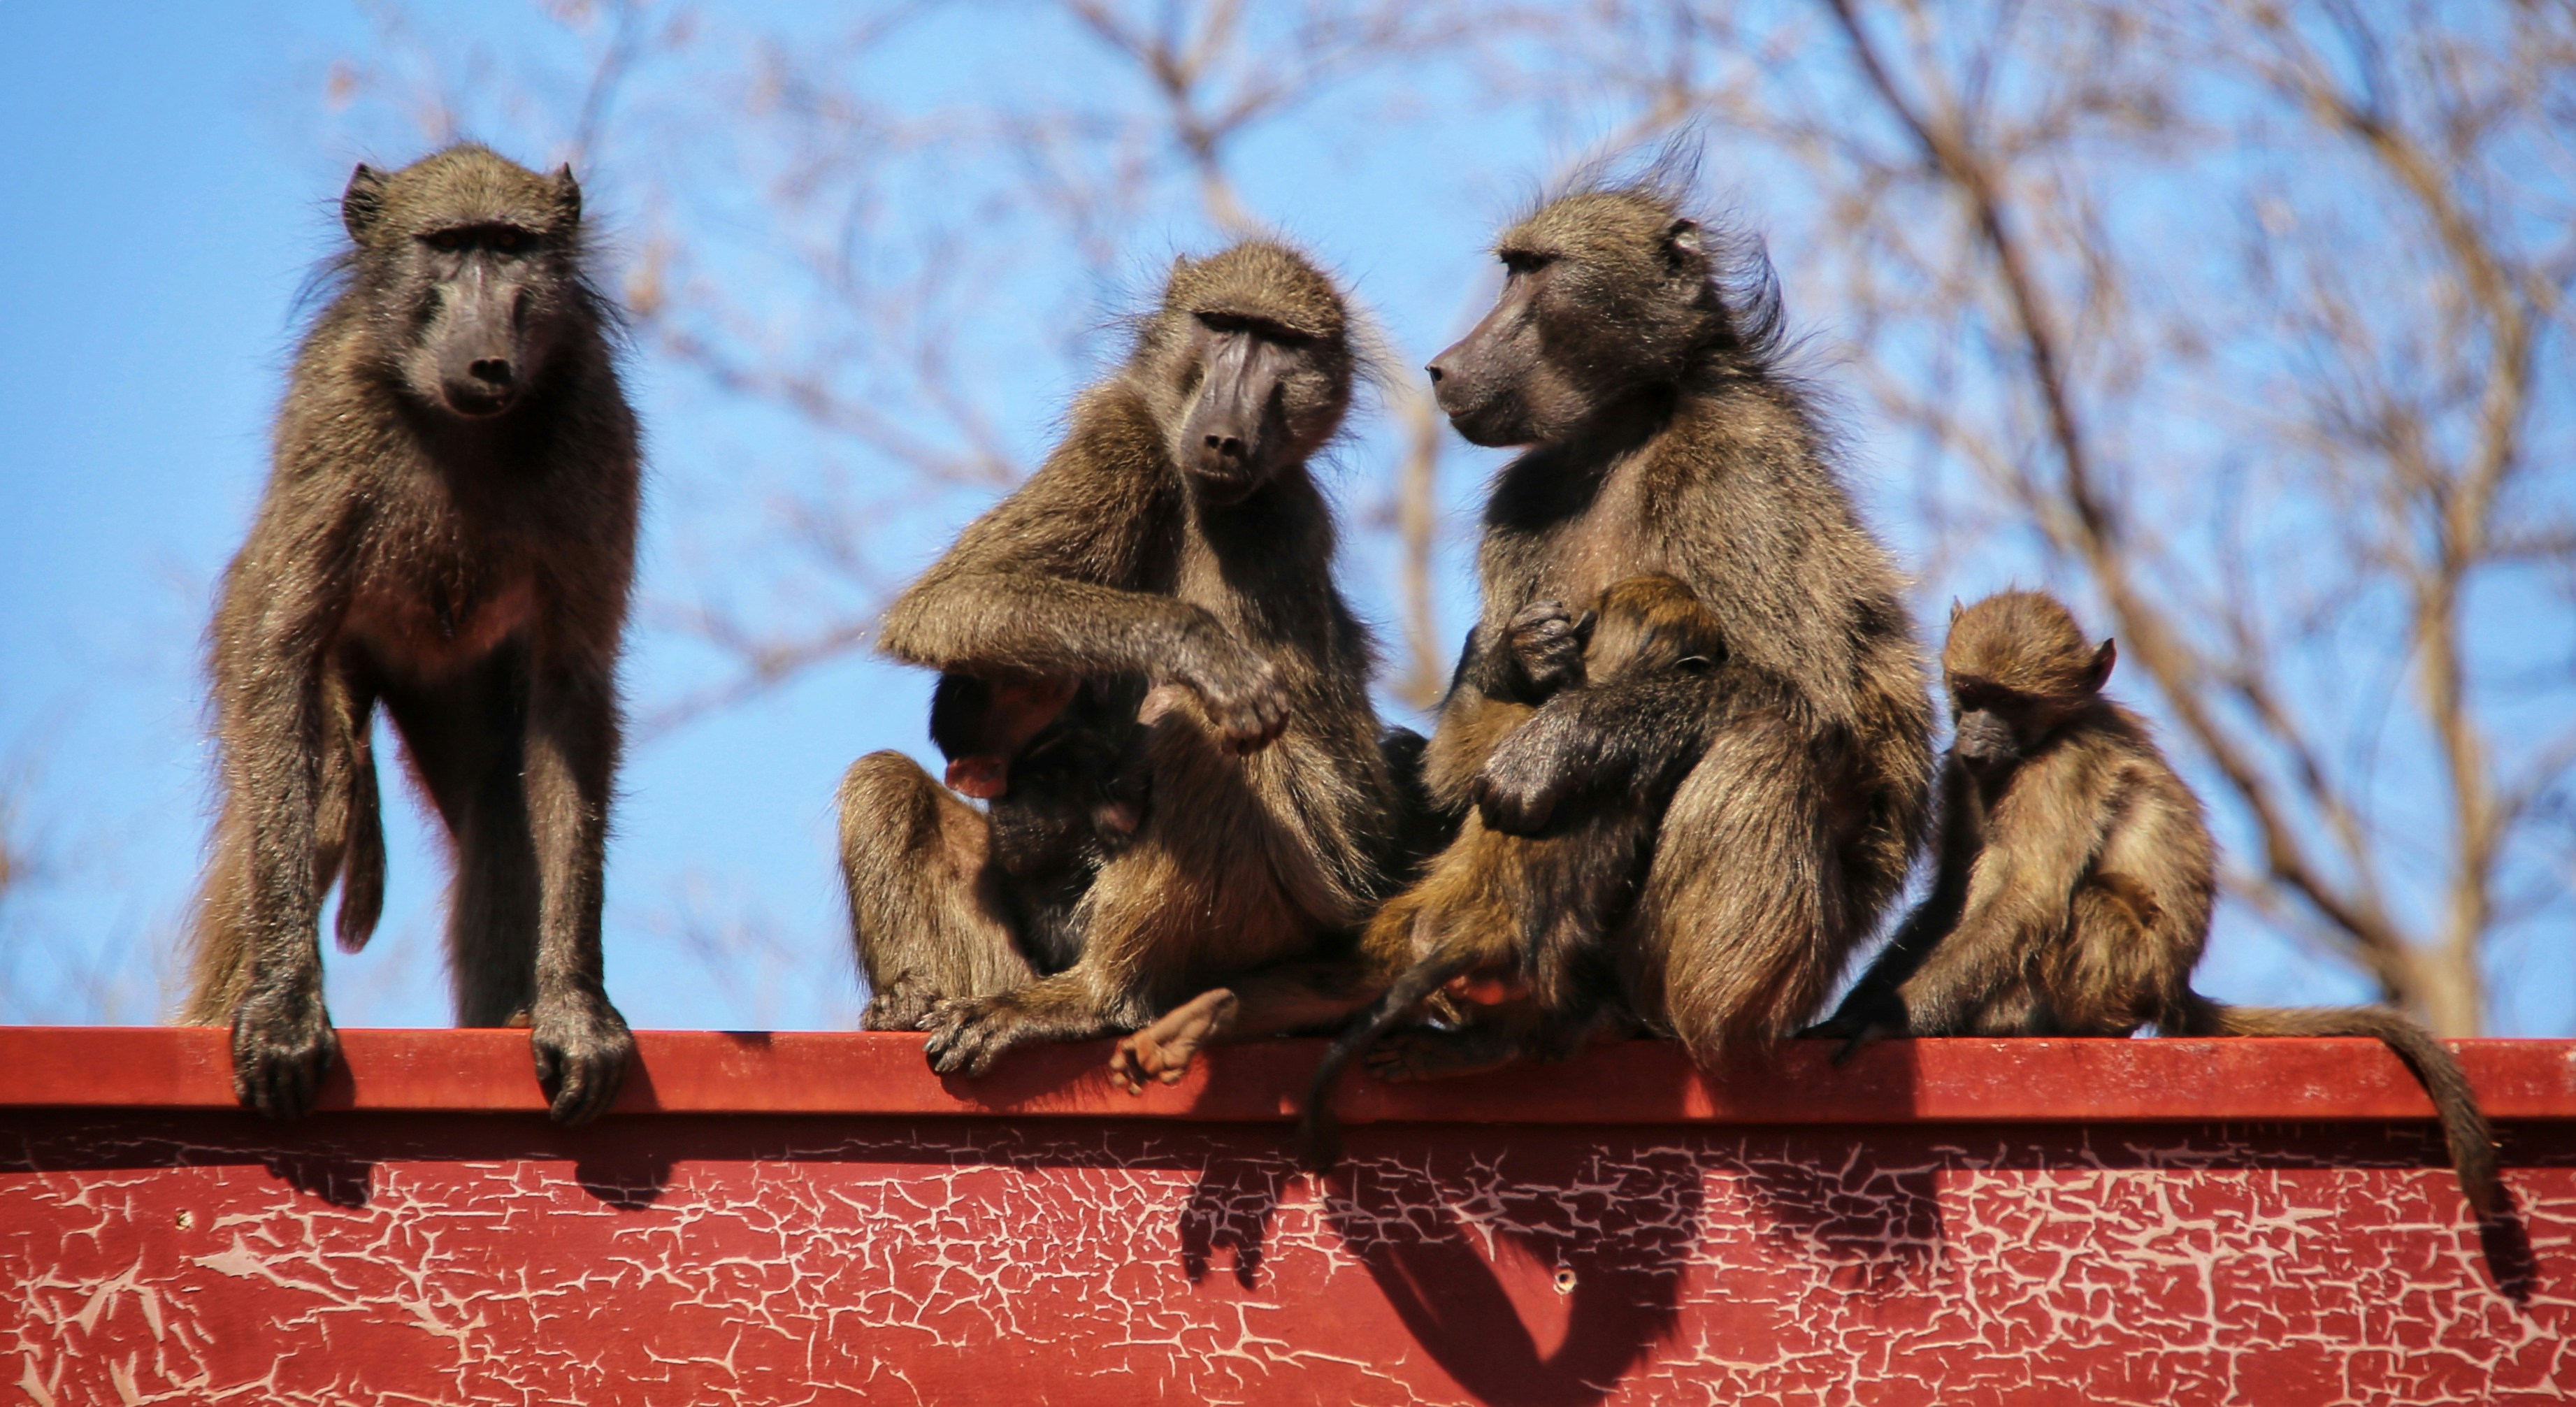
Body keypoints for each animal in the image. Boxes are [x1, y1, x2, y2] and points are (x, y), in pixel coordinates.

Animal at [179, 144, 638, 1126]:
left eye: (510, 247)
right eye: (448, 246)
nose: (489, 359)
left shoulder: (595, 422)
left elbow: (572, 689)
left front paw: (575, 1009)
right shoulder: (334, 415)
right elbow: (281, 647)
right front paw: (281, 1010)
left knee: (501, 802)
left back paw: (511, 1016)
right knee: (323, 796)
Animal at [835, 239, 1406, 1076]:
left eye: (1281, 344)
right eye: (1222, 326)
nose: (1224, 435)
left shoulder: (1280, 520)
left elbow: (1339, 794)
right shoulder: (1121, 430)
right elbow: (952, 598)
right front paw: (1196, 642)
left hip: (1281, 919)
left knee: (1195, 725)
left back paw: (1093, 999)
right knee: (883, 780)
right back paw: (913, 1005)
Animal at [1803, 590, 2503, 1220]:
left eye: (2011, 703)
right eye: (1971, 693)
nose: (1976, 737)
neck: (2039, 740)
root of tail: (2173, 984)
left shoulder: (2058, 766)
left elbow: (2029, 895)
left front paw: (1882, 1022)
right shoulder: (1962, 772)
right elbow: (1949, 894)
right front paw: (1855, 1010)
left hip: (2119, 968)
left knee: (2076, 902)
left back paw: (2010, 1024)